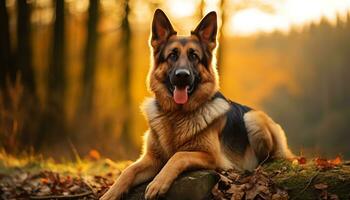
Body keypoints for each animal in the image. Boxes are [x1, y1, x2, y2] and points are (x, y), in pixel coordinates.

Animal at [100, 8, 294, 199]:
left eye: (194, 56)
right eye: (172, 55)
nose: (182, 75)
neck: (176, 116)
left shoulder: (213, 158)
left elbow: (178, 156)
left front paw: (158, 183)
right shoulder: (152, 159)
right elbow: (128, 170)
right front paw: (110, 193)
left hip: (253, 118)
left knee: (270, 158)